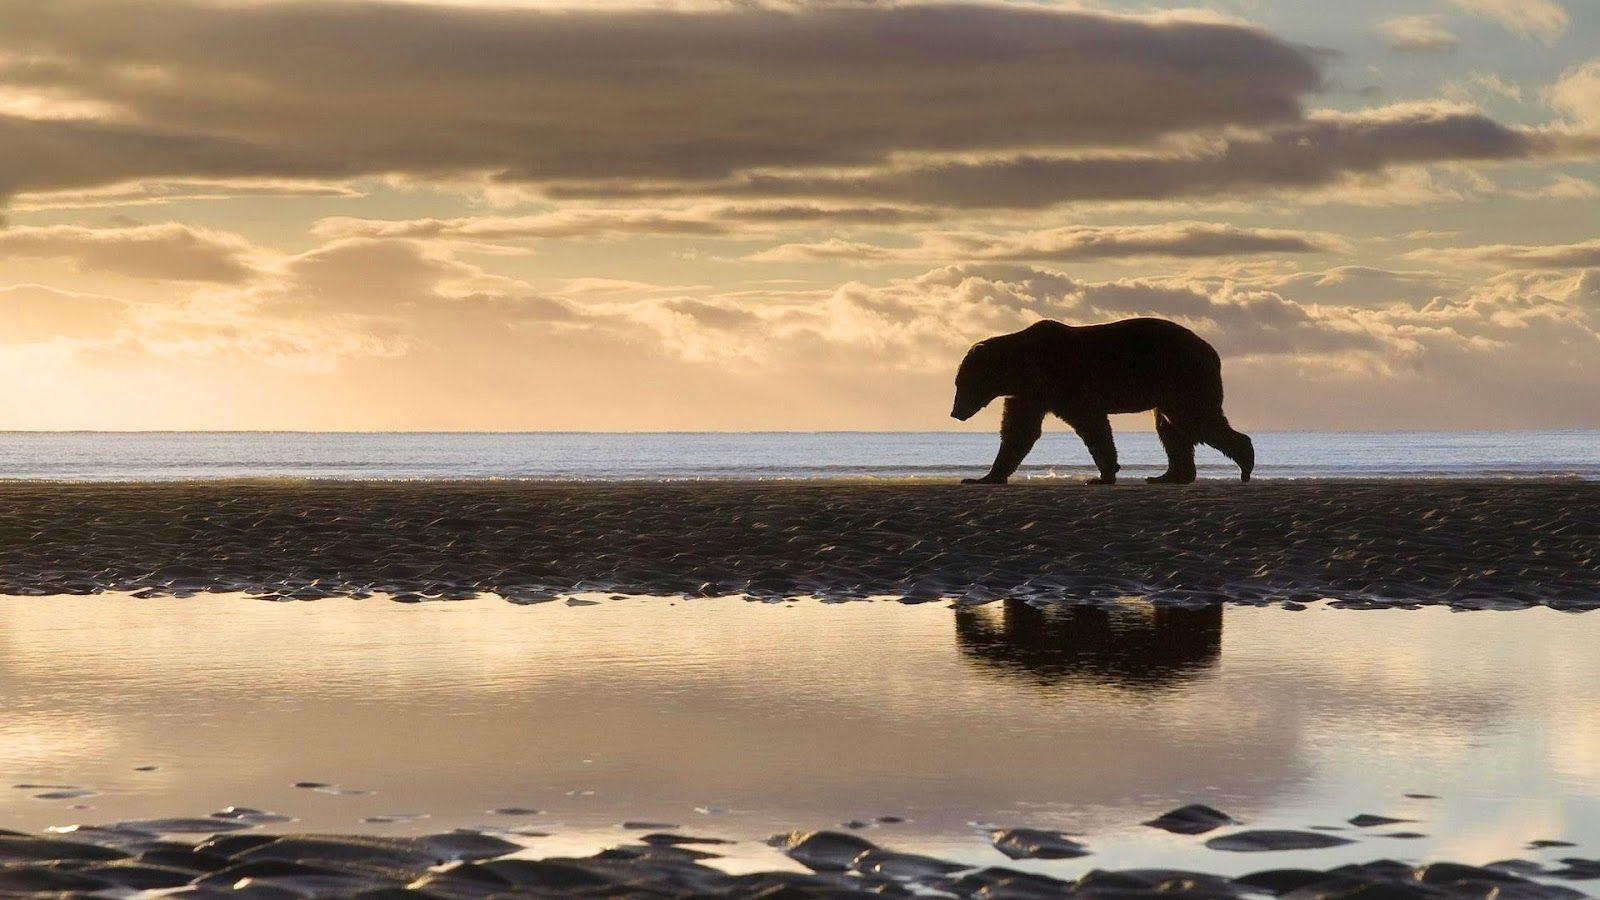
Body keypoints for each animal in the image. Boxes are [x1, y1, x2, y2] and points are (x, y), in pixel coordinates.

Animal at [951, 318, 1253, 485]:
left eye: (962, 383)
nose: (955, 413)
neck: (1025, 367)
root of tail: (1212, 351)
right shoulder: (1030, 394)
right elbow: (1018, 432)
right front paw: (983, 477)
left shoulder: (1066, 383)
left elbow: (1091, 425)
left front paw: (1101, 475)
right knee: (1171, 429)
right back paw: (1169, 476)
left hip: (1182, 376)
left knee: (1195, 419)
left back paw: (1245, 463)